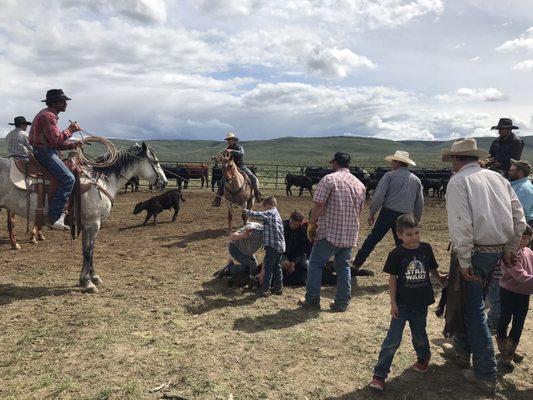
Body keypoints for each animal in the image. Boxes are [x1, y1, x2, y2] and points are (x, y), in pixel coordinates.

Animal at [0, 142, 166, 292]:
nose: (163, 182)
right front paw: (87, 282)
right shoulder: (93, 224)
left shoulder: (88, 225)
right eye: (155, 161)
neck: (100, 181)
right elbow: (88, 251)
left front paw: (93, 277)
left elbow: (89, 250)